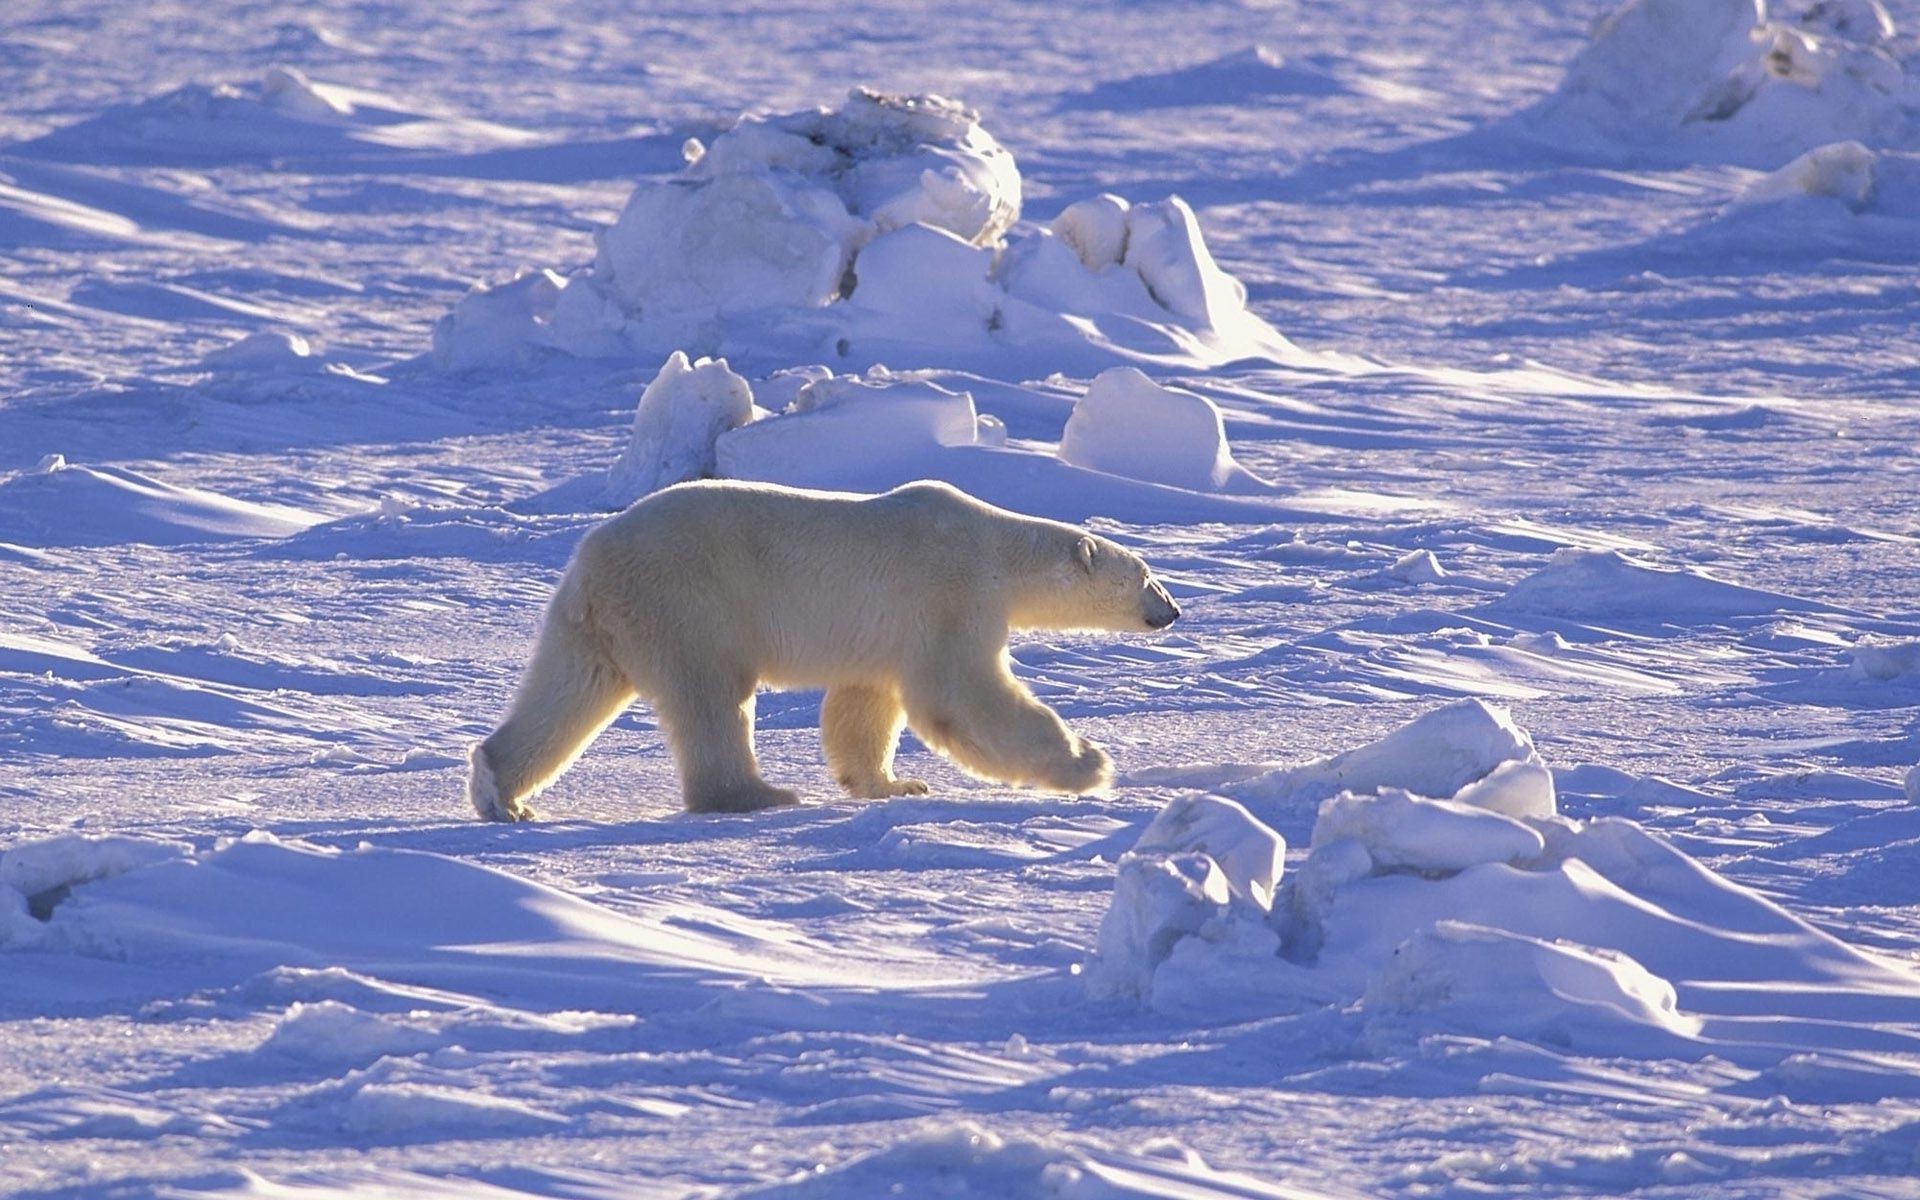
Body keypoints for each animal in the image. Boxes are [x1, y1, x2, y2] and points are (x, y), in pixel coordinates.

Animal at [468, 474, 1182, 814]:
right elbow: (959, 694)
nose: (1173, 611)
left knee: (567, 692)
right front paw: (1090, 764)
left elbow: (864, 705)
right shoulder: (950, 594)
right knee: (712, 698)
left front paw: (894, 784)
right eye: (1147, 576)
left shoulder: (888, 632)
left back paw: (501, 791)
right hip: (688, 602)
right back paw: (756, 794)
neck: (995, 547)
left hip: (594, 623)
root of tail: (593, 561)